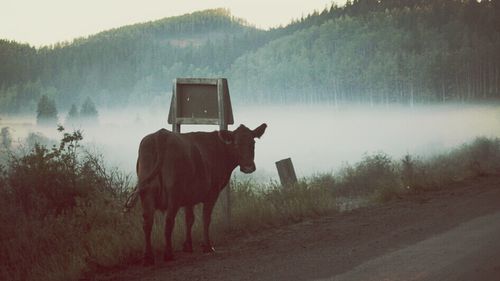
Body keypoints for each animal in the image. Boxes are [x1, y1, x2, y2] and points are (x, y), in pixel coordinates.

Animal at [131, 122, 268, 262]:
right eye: (236, 144)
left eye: (253, 143)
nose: (248, 167)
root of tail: (162, 135)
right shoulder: (212, 192)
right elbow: (206, 218)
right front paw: (207, 246)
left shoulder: (189, 196)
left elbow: (189, 219)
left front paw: (188, 245)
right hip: (173, 194)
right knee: (168, 221)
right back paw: (168, 254)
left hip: (147, 193)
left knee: (147, 222)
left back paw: (148, 257)